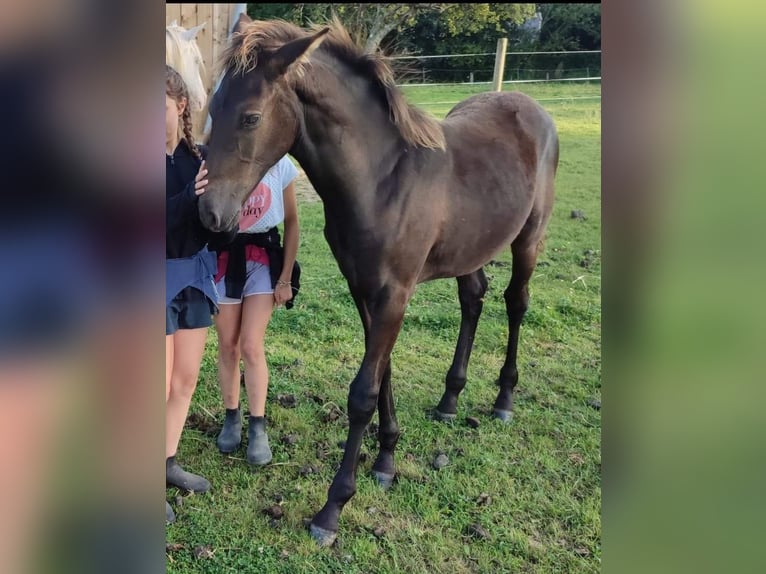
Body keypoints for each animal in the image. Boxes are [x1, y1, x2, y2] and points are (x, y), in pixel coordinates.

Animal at [200, 15, 560, 548]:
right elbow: (383, 373)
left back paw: (503, 399)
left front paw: (332, 509)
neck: (382, 180)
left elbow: (362, 393)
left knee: (516, 302)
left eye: (249, 117)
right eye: (212, 108)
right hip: (469, 248)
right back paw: (450, 400)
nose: (210, 214)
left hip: (528, 239)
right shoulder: (364, 289)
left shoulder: (395, 292)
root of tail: (530, 106)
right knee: (473, 299)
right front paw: (387, 460)